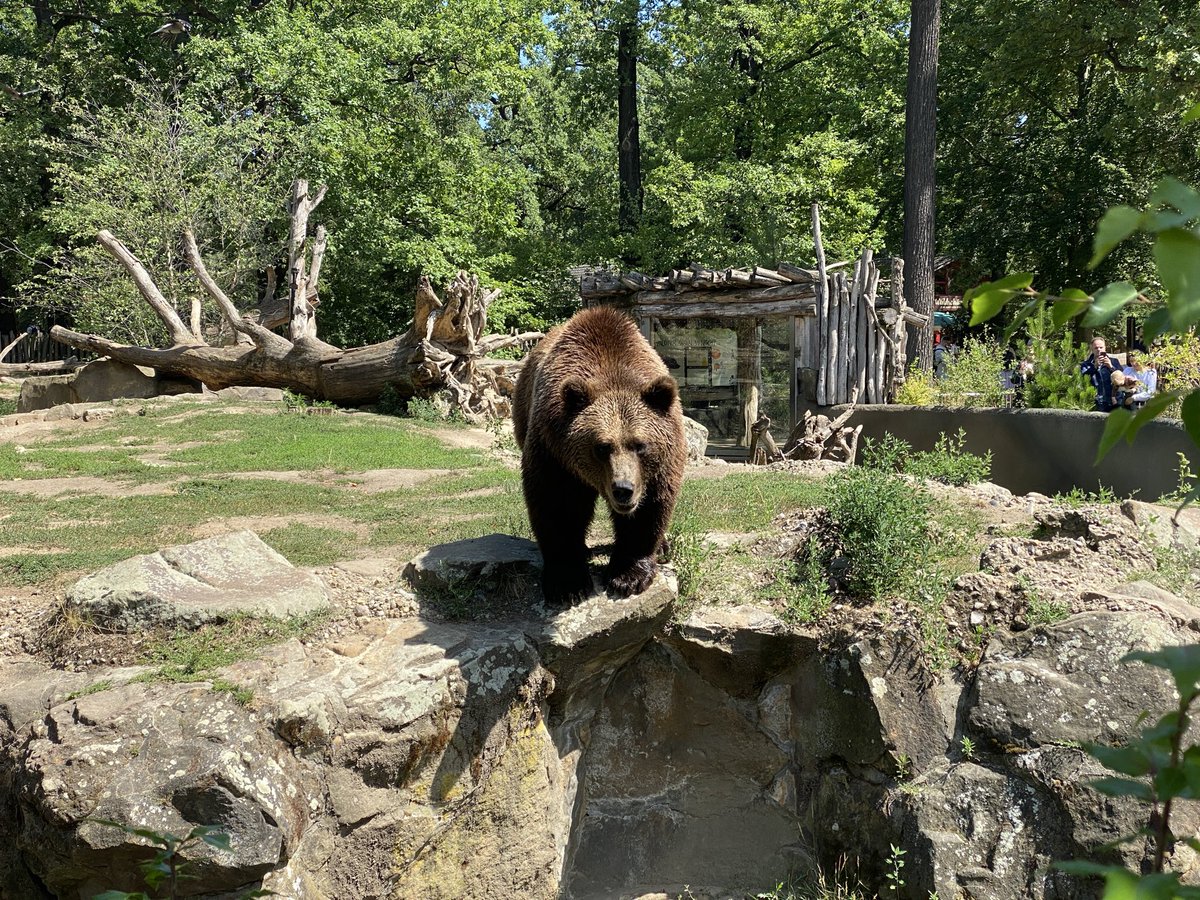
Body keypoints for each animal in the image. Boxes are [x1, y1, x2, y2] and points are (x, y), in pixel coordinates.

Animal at [513, 305, 686, 605]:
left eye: (640, 445)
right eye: (602, 447)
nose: (623, 489)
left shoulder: (660, 463)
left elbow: (650, 508)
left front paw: (628, 576)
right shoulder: (554, 451)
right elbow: (558, 504)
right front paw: (568, 583)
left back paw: (663, 545)